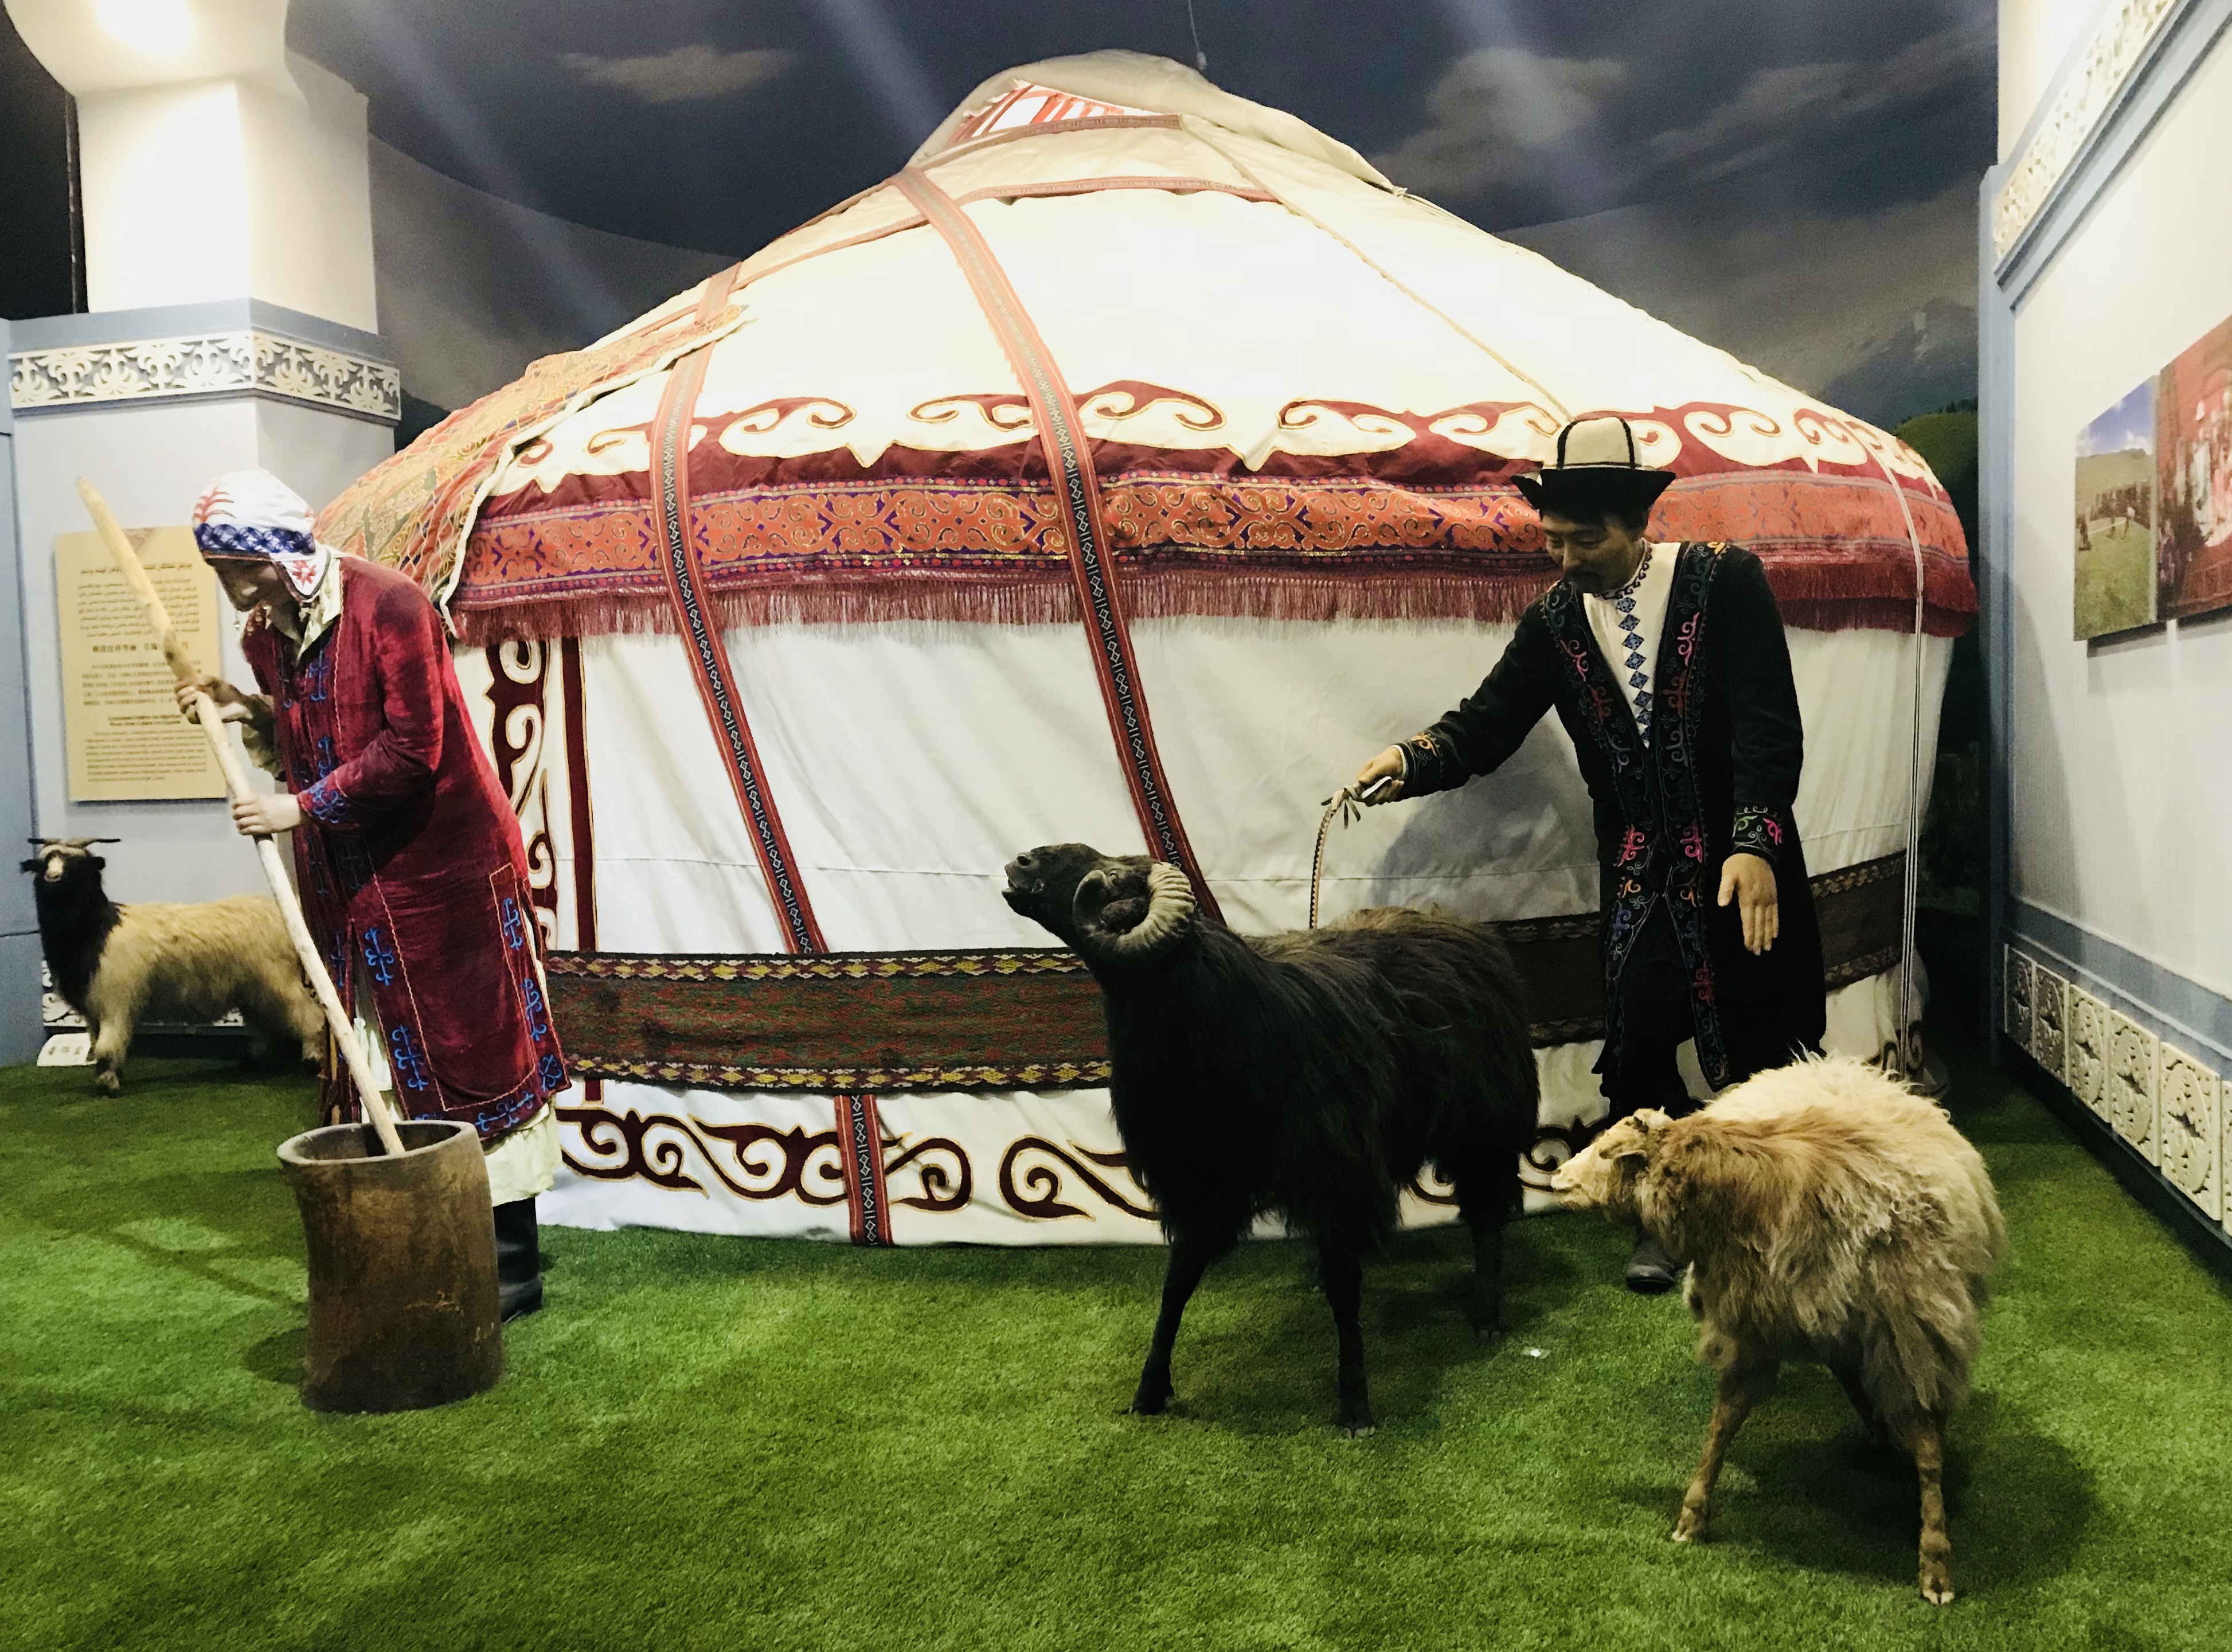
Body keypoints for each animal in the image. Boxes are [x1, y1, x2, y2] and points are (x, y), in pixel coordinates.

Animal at [21, 839, 323, 1095]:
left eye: (77, 865)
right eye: (43, 863)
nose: (53, 877)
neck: (97, 930)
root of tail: (285, 909)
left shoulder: (115, 1001)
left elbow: (108, 1045)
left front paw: (109, 1084)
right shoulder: (94, 1008)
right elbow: (98, 1046)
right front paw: (107, 1076)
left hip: (279, 980)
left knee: (310, 1015)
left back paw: (313, 1059)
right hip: (252, 988)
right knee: (264, 1025)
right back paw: (251, 1061)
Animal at [1002, 843, 1539, 1436]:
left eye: (1115, 878)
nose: (1021, 862)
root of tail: (1464, 926)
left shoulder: (1337, 1175)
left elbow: (1345, 1294)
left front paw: (1355, 1404)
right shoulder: (1201, 1179)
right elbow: (1176, 1285)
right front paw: (1150, 1388)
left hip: (1482, 1126)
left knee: (1486, 1219)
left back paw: (1486, 1315)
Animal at [1550, 1055, 2006, 1604]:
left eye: (1604, 1153)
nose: (1555, 1176)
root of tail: (1834, 1065)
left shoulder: (1915, 1338)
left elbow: (1929, 1451)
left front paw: (1935, 1558)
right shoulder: (1752, 1328)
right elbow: (1721, 1425)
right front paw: (1693, 1512)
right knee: (1846, 1369)